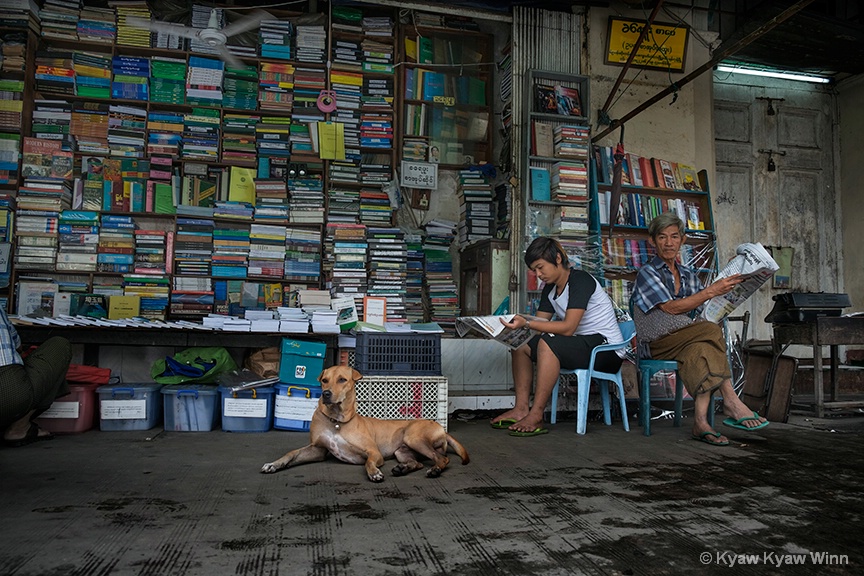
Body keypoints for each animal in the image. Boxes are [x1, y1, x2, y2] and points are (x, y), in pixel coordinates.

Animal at [260, 364, 470, 482]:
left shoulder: (373, 452)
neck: (336, 421)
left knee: (442, 459)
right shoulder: (318, 450)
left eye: (342, 380)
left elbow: (368, 462)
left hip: (413, 437)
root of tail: (441, 427)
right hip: (402, 451)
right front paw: (274, 464)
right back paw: (402, 468)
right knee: (417, 463)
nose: (326, 394)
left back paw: (434, 470)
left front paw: (374, 473)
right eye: (324, 380)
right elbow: (292, 453)